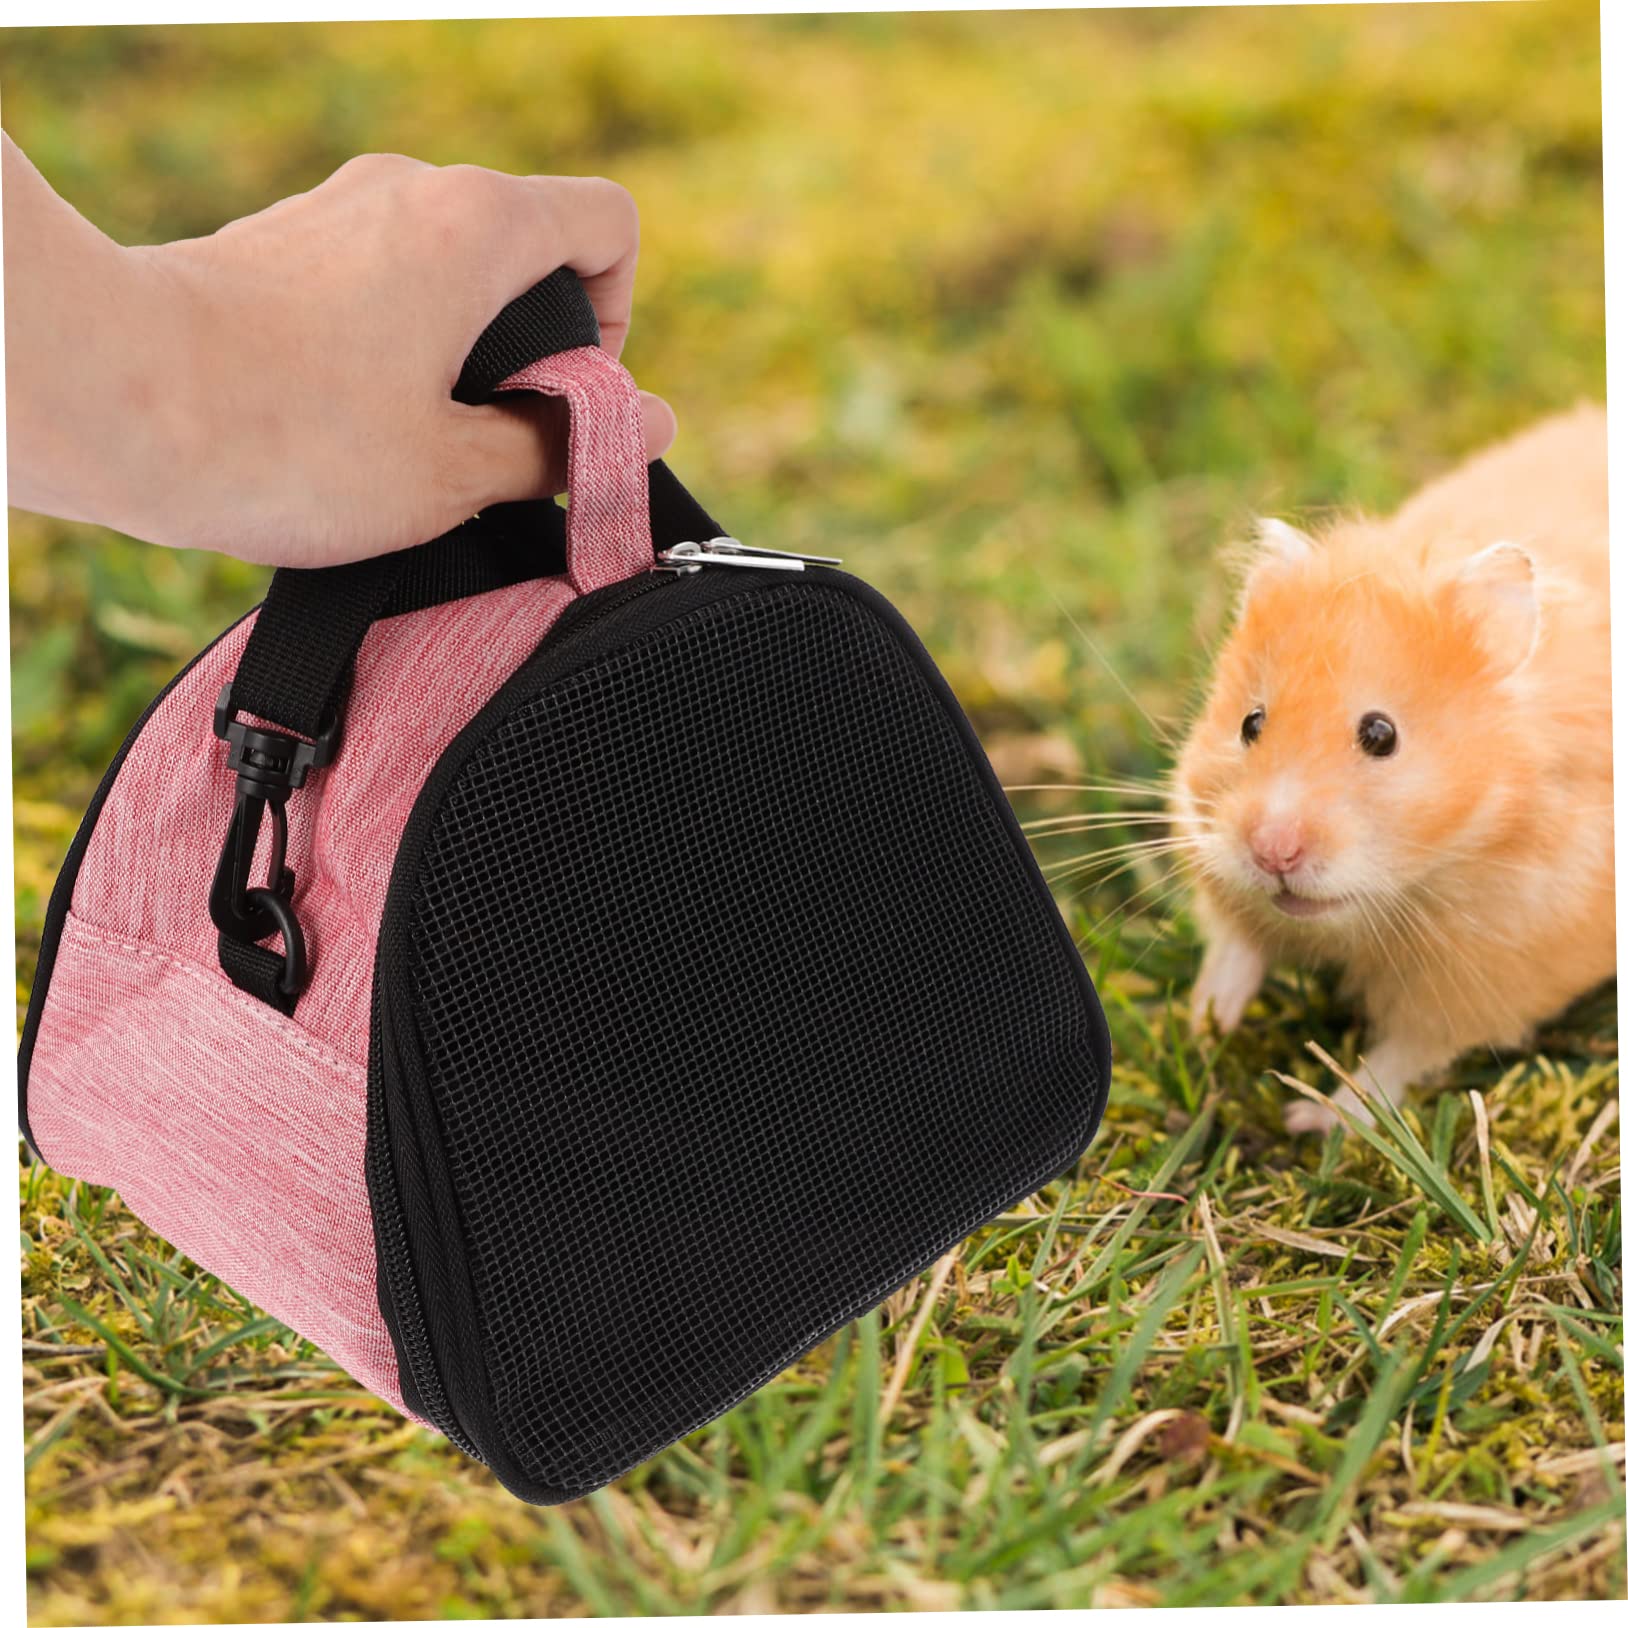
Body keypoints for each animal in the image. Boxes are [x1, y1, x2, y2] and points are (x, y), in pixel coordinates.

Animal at [1171, 404, 1613, 1133]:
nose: (1272, 853)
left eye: (1381, 735)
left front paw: (1310, 1117)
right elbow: (1234, 941)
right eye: (1249, 723)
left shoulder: (1493, 970)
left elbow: (1399, 1058)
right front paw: (1205, 1026)